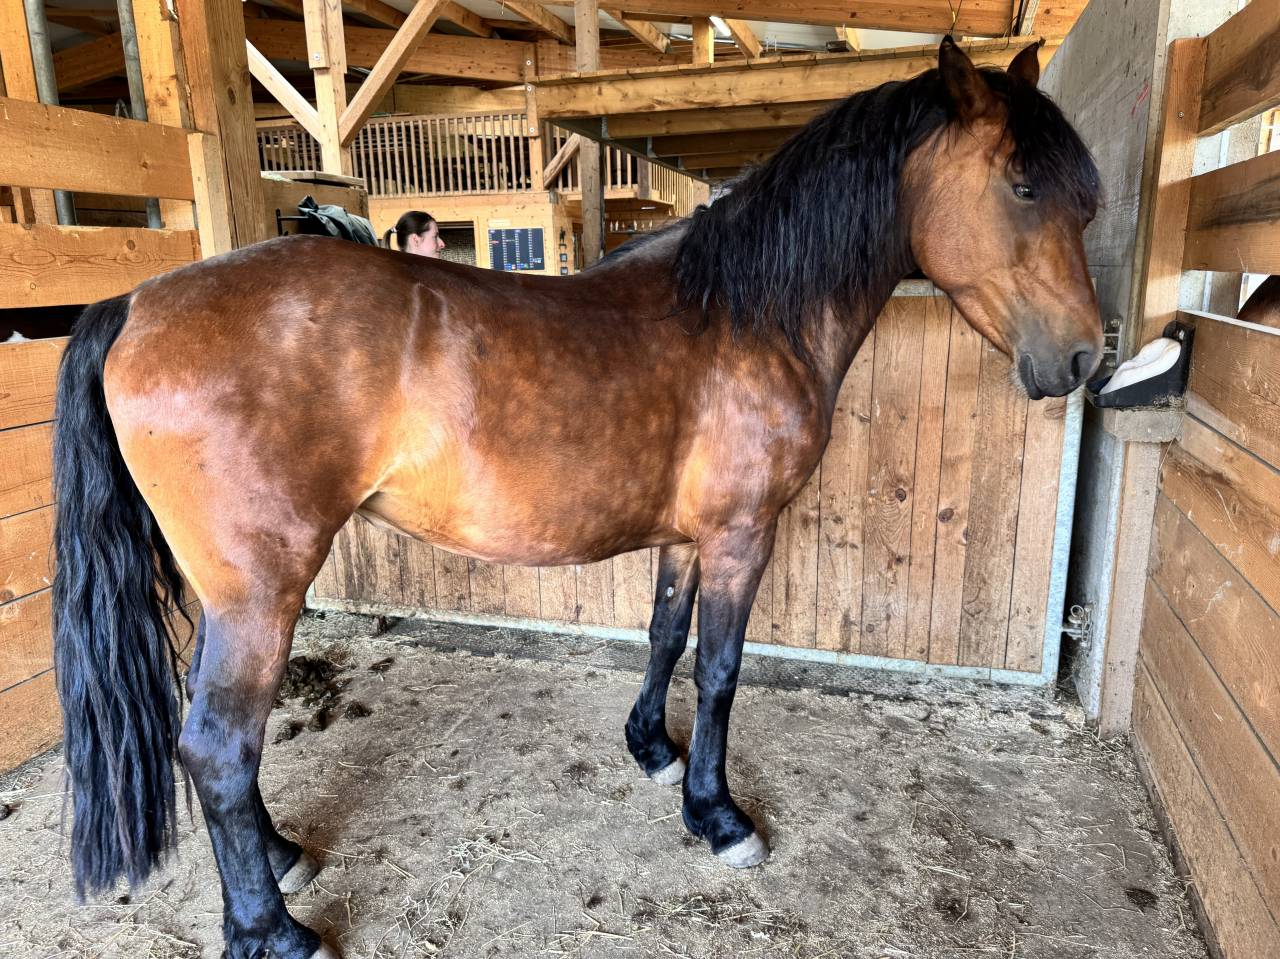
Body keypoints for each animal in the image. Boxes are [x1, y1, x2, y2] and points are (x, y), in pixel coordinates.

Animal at [52, 38, 1101, 959]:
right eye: (1022, 185)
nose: (1086, 358)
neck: (746, 315)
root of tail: (137, 304)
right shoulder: (742, 534)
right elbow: (721, 669)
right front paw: (718, 815)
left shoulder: (688, 536)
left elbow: (666, 635)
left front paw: (652, 749)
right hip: (261, 591)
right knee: (219, 748)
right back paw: (271, 929)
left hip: (226, 596)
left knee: (212, 744)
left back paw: (278, 856)